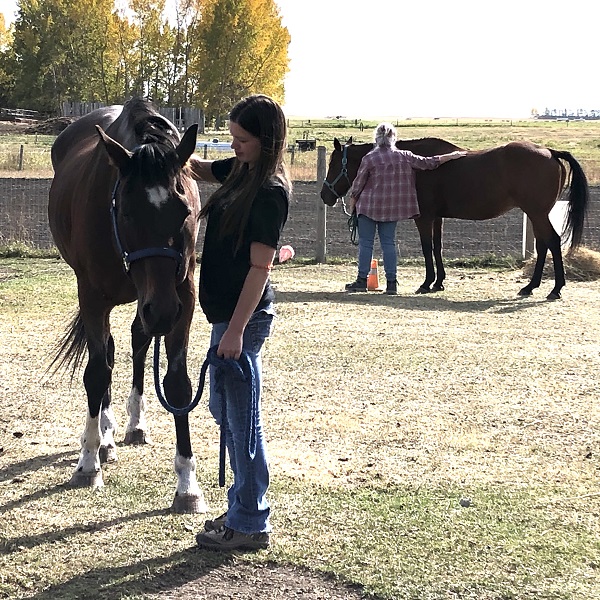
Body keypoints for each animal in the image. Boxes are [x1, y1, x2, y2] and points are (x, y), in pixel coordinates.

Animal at [47, 97, 206, 510]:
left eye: (185, 211)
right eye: (126, 211)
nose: (163, 312)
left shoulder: (182, 295)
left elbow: (178, 385)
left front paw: (187, 483)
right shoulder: (92, 296)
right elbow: (96, 373)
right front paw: (88, 462)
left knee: (136, 341)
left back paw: (134, 424)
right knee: (106, 354)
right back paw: (104, 438)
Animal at [322, 137, 588, 298]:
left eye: (333, 164)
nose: (325, 195)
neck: (413, 167)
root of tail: (550, 152)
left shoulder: (424, 218)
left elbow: (427, 248)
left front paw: (426, 283)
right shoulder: (437, 218)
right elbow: (437, 247)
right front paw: (438, 282)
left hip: (537, 213)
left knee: (552, 242)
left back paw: (555, 289)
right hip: (536, 214)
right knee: (543, 245)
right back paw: (531, 286)